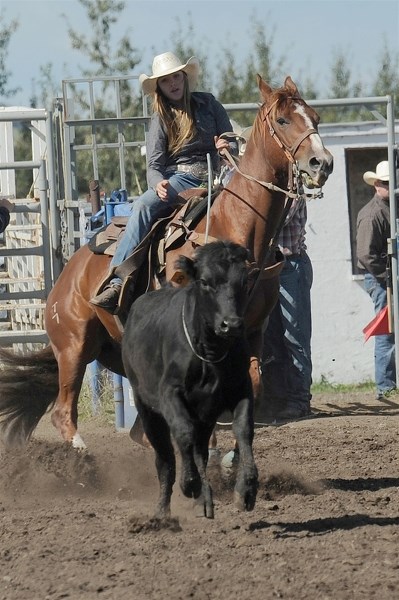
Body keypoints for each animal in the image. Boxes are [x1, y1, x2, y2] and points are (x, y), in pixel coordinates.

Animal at [0, 76, 332, 450]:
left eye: (315, 117)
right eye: (283, 120)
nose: (322, 163)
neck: (235, 229)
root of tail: (67, 275)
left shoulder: (253, 331)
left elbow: (254, 386)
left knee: (139, 426)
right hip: (74, 345)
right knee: (63, 412)